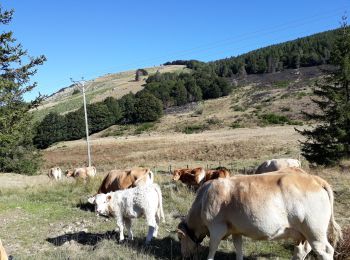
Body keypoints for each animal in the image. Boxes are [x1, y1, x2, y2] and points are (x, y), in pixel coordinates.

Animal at [178, 169, 342, 260]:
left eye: (180, 238)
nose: (184, 256)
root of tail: (316, 180)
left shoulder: (217, 227)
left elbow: (212, 249)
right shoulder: (236, 229)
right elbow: (238, 247)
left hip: (314, 230)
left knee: (325, 251)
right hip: (304, 233)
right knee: (302, 250)